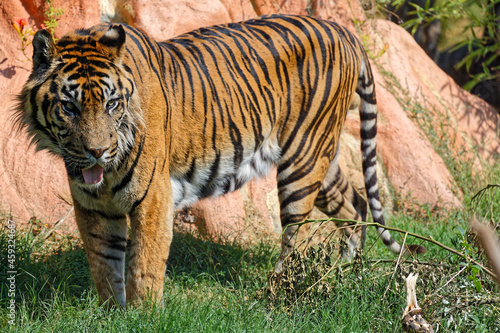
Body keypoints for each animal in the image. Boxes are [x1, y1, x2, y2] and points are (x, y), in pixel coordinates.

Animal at [14, 14, 422, 306]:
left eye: (112, 104)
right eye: (70, 107)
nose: (97, 152)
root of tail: (344, 30)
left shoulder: (153, 198)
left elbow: (144, 263)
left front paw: (142, 314)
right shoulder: (93, 206)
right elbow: (104, 264)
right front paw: (111, 313)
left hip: (304, 159)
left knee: (296, 234)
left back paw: (272, 297)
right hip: (322, 157)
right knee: (355, 206)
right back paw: (341, 277)